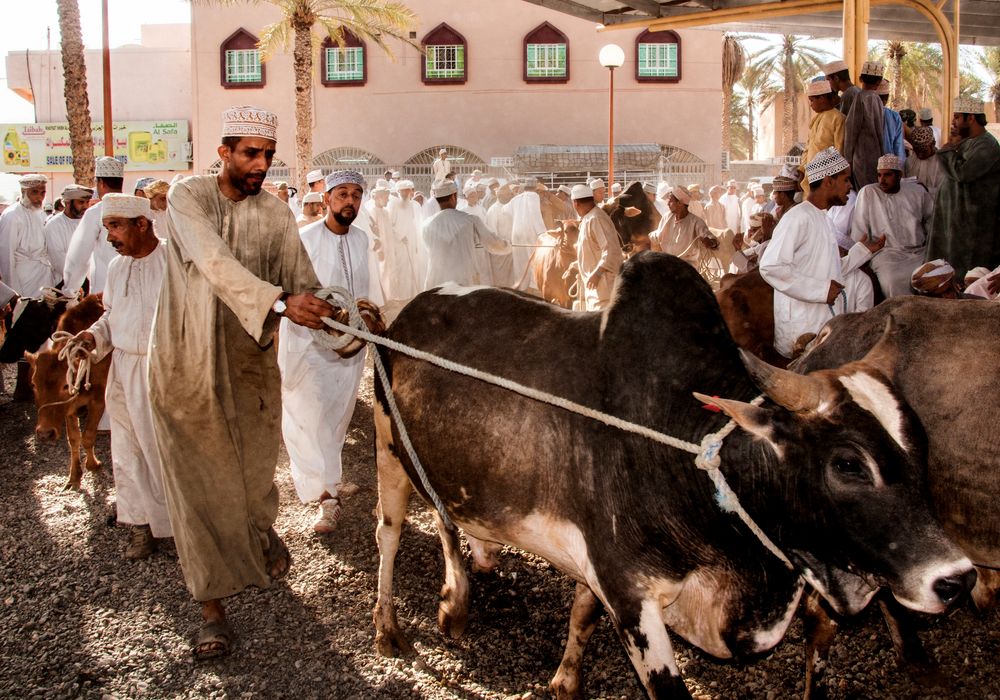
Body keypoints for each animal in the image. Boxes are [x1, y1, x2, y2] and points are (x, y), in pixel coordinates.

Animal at [24, 298, 110, 490]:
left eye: (65, 385)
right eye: (33, 384)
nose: (45, 433)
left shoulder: (98, 399)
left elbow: (87, 436)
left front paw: (92, 465)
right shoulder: (70, 407)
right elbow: (74, 438)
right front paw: (74, 476)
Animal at [368, 254, 976, 696]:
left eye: (921, 447)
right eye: (848, 463)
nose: (958, 579)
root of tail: (407, 311)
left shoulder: (601, 567)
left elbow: (582, 615)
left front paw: (565, 681)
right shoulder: (630, 594)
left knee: (448, 516)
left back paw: (467, 583)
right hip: (388, 449)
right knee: (391, 533)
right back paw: (397, 624)